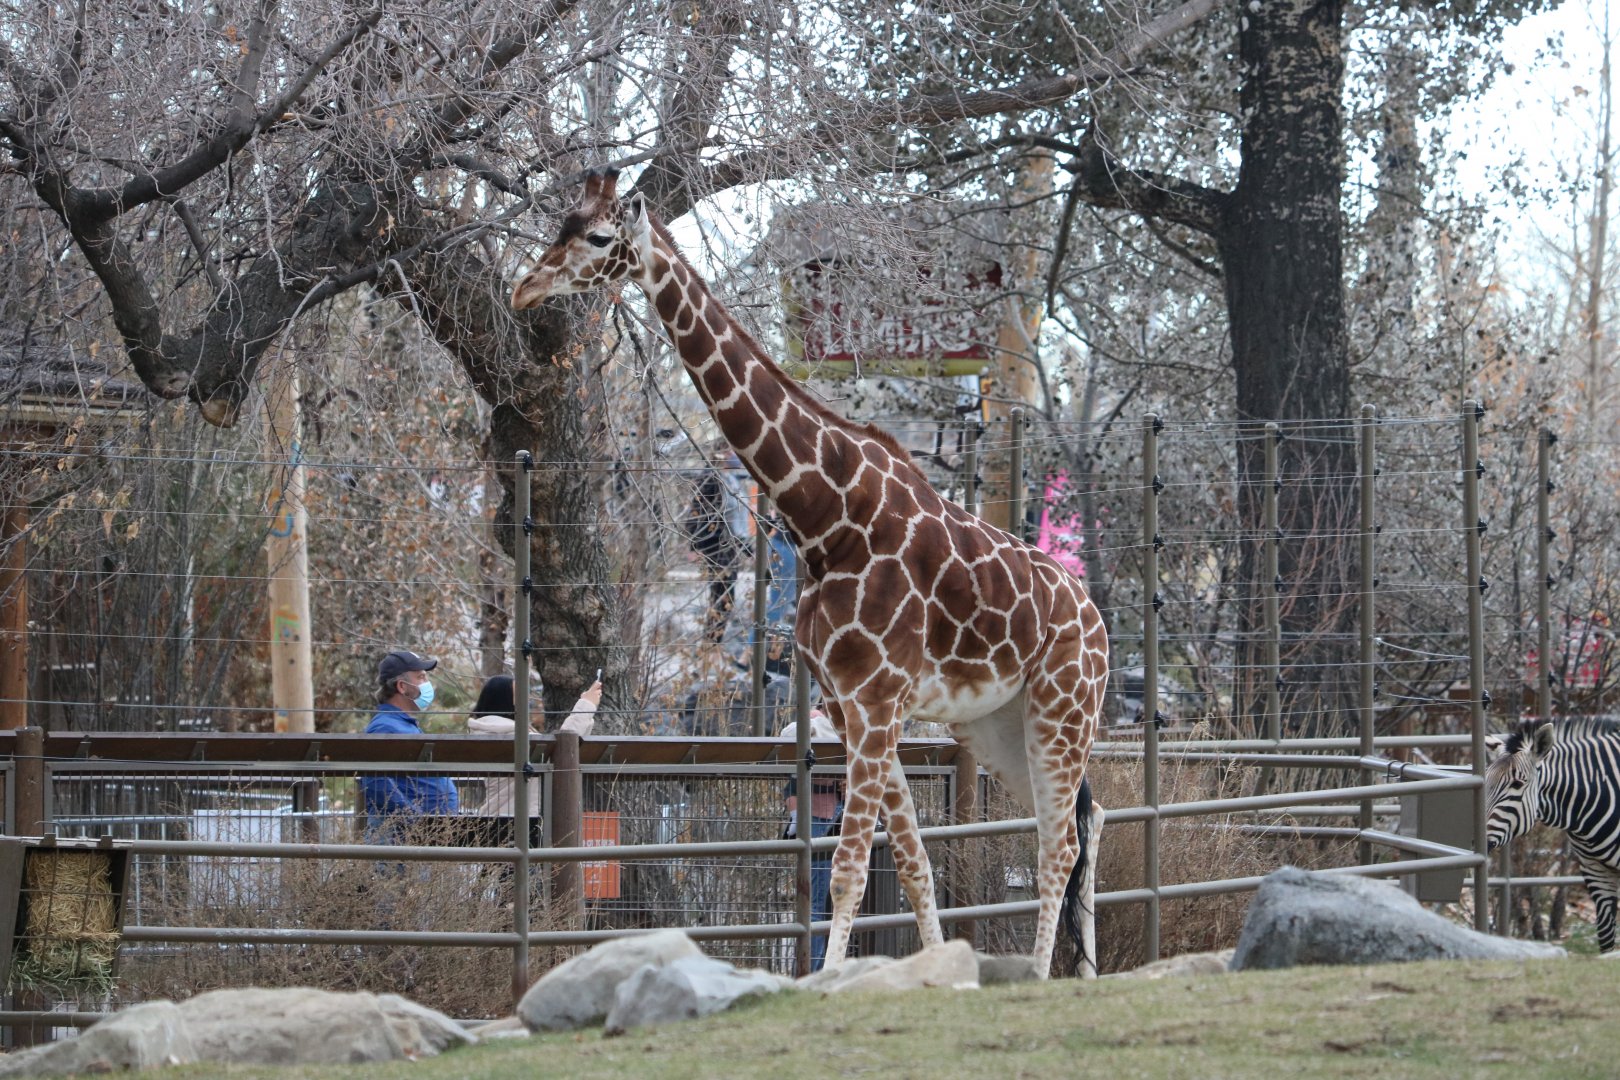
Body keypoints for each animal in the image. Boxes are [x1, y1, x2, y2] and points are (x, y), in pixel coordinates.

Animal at [512, 169, 1110, 977]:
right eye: (560, 226)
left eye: (600, 237)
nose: (524, 290)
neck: (826, 516)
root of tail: (1095, 619)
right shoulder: (854, 701)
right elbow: (913, 863)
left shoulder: (877, 700)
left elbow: (852, 869)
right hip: (997, 724)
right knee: (1089, 815)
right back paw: (1081, 970)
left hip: (1063, 706)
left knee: (1060, 842)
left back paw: (1051, 976)